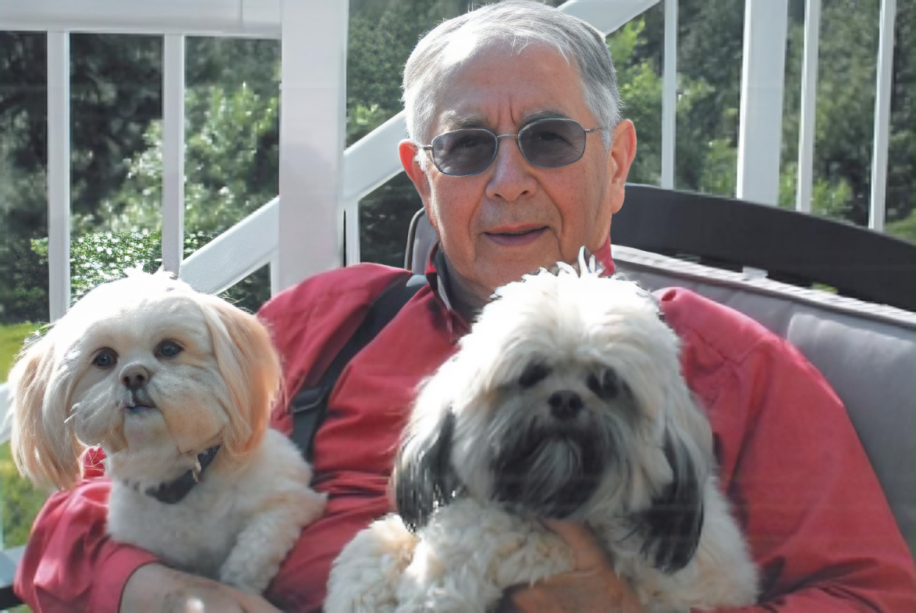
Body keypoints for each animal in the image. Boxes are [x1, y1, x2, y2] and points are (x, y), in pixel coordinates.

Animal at [7, 270, 325, 593]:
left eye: (169, 349)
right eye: (104, 358)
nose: (133, 375)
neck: (177, 482)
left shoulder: (291, 500)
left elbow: (251, 555)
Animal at [326, 259, 758, 612]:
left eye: (607, 384)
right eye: (531, 374)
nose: (566, 399)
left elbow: (476, 532)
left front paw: (428, 589)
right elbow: (381, 539)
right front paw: (358, 590)